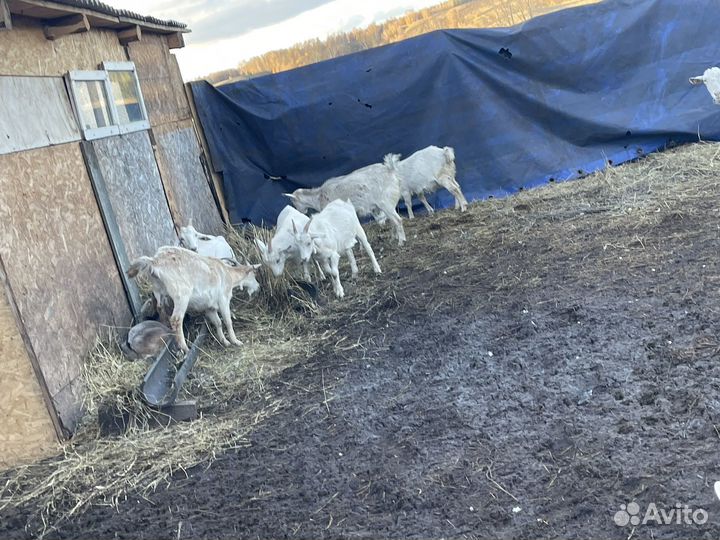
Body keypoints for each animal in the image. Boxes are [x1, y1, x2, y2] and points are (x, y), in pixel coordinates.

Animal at [128, 246, 260, 352]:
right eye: (253, 274)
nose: (258, 287)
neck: (227, 273)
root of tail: (154, 262)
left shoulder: (209, 307)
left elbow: (218, 322)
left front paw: (224, 341)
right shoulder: (223, 298)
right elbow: (227, 321)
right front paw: (236, 341)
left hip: (158, 291)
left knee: (161, 309)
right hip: (181, 296)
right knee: (176, 319)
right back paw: (185, 348)